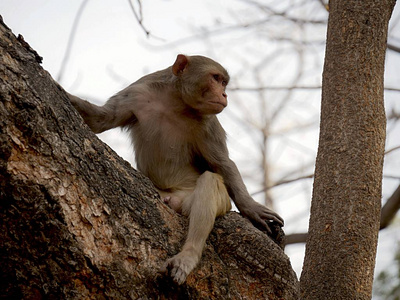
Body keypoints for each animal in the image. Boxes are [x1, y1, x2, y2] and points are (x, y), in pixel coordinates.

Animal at [67, 55, 282, 284]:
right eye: (216, 79)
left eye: (223, 82)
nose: (224, 94)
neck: (175, 101)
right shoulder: (137, 93)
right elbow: (102, 119)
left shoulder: (208, 123)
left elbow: (223, 164)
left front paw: (250, 206)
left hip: (189, 199)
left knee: (211, 181)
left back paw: (188, 255)